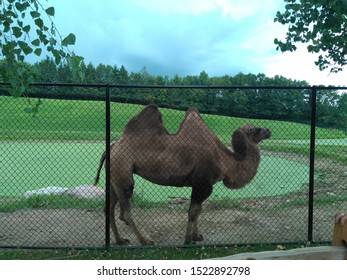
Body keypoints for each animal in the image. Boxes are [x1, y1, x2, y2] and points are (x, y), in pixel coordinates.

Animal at [94, 105, 272, 245]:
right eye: (255, 129)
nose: (268, 130)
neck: (225, 161)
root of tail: (112, 147)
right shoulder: (203, 184)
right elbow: (193, 212)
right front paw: (187, 240)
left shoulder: (201, 184)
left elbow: (198, 210)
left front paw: (196, 236)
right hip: (123, 172)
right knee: (125, 211)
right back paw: (145, 241)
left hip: (113, 176)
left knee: (109, 207)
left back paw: (120, 240)